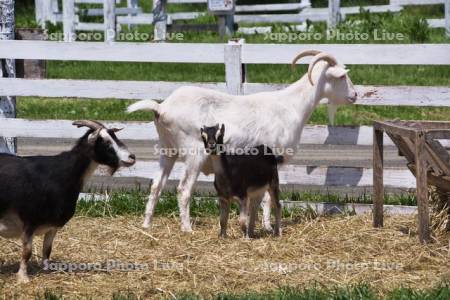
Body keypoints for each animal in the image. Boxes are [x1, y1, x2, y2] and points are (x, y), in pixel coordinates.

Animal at [128, 49, 356, 232]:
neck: (290, 106)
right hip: (194, 153)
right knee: (183, 189)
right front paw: (268, 226)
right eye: (343, 76)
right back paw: (187, 228)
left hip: (167, 150)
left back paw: (146, 224)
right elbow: (268, 198)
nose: (355, 95)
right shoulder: (273, 160)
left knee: (156, 185)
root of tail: (161, 108)